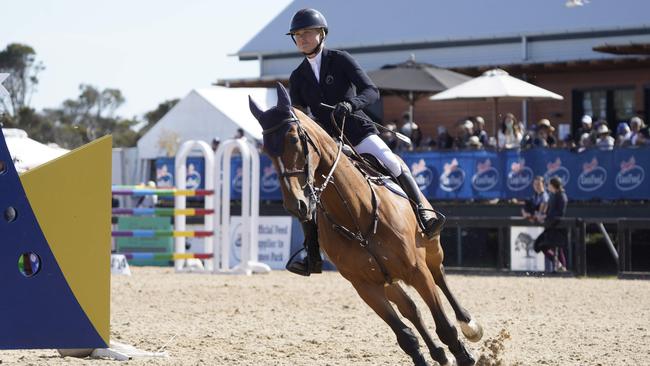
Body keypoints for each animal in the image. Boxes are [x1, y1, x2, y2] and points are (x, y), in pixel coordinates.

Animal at [248, 83, 480, 366]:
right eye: (266, 151)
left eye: (293, 139)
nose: (297, 205)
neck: (356, 214)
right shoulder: (365, 286)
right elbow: (405, 336)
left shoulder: (417, 270)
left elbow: (444, 326)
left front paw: (464, 355)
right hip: (388, 280)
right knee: (411, 309)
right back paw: (438, 353)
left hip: (431, 251)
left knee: (441, 278)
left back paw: (469, 324)